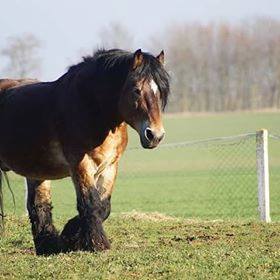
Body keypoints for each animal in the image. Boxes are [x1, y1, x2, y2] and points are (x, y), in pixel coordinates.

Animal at [0, 48, 171, 256]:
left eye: (161, 91)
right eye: (136, 90)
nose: (155, 135)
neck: (91, 109)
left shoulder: (110, 165)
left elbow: (103, 206)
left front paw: (70, 237)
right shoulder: (81, 163)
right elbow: (90, 202)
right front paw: (97, 244)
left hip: (37, 170)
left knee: (39, 205)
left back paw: (49, 246)